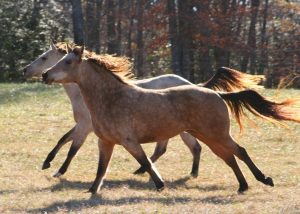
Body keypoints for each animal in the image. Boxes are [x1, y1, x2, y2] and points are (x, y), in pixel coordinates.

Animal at [23, 41, 262, 177]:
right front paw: (48, 163)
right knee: (177, 148)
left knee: (191, 148)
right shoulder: (85, 126)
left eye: (44, 57)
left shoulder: (85, 126)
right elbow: (64, 140)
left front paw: (56, 169)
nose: (29, 70)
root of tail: (198, 86)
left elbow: (71, 146)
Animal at [42, 46, 300, 195]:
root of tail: (217, 94)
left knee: (240, 152)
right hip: (208, 136)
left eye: (67, 62)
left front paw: (159, 184)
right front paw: (91, 190)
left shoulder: (128, 141)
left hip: (216, 134)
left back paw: (263, 180)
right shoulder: (105, 142)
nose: (45, 75)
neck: (112, 98)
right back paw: (243, 186)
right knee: (230, 157)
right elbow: (101, 169)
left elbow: (145, 161)